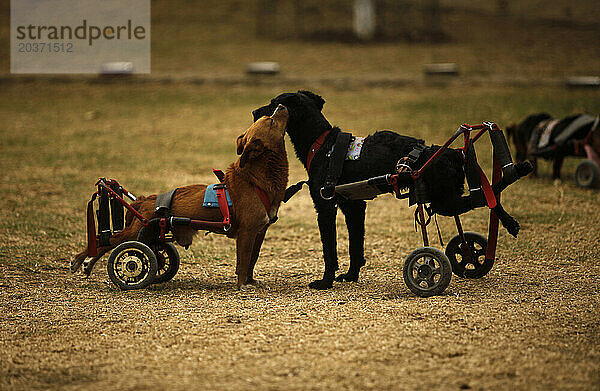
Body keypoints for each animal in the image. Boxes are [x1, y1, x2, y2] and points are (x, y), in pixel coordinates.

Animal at [70, 104, 290, 288]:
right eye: (271, 121)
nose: (281, 104)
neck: (256, 179)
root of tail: (144, 200)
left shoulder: (259, 232)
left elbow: (253, 258)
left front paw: (251, 281)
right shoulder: (246, 232)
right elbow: (243, 261)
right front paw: (243, 284)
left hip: (149, 232)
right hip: (136, 231)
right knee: (105, 241)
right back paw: (81, 260)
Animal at [255, 90, 528, 290]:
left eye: (274, 104)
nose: (254, 111)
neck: (322, 144)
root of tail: (453, 153)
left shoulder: (325, 207)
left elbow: (329, 250)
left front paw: (325, 282)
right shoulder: (353, 206)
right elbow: (356, 246)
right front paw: (351, 276)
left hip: (442, 200)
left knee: (484, 195)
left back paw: (515, 190)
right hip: (445, 198)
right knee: (485, 195)